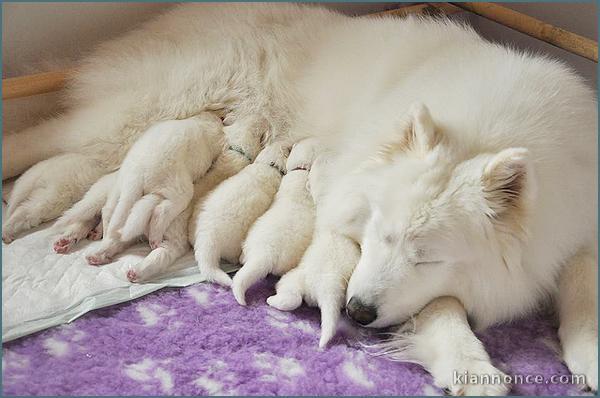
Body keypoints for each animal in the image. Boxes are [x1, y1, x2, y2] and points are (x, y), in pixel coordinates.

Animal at [86, 113, 223, 266]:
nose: (220, 117)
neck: (203, 120)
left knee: (108, 212)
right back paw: (155, 238)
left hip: (119, 187)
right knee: (161, 210)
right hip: (179, 187)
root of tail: (137, 174)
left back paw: (99, 240)